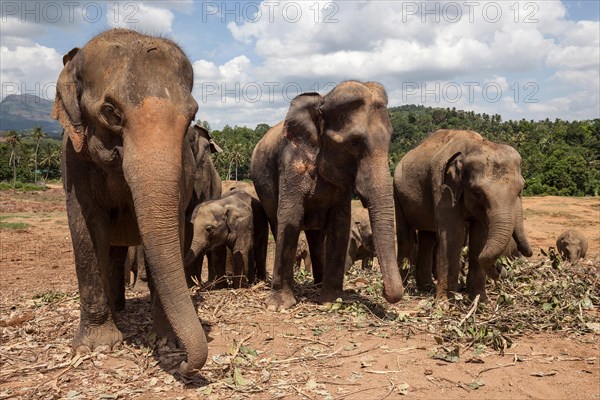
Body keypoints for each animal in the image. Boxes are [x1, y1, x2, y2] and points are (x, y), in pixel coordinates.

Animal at [52, 30, 210, 376]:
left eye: (191, 115)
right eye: (111, 112)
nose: (185, 365)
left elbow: (171, 229)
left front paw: (165, 341)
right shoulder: (73, 159)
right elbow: (84, 228)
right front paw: (96, 346)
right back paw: (117, 311)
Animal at [248, 81, 404, 310]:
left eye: (390, 140)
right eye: (354, 143)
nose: (383, 292)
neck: (322, 101)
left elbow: (340, 224)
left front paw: (332, 299)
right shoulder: (291, 163)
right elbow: (290, 218)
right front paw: (278, 305)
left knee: (316, 236)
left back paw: (318, 284)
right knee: (278, 224)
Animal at [396, 130, 532, 302]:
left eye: (520, 190)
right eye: (479, 193)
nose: (501, 270)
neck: (475, 146)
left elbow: (479, 236)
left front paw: (481, 301)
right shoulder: (442, 188)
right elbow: (454, 235)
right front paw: (445, 303)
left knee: (428, 238)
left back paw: (426, 288)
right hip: (397, 193)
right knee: (405, 237)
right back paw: (404, 288)